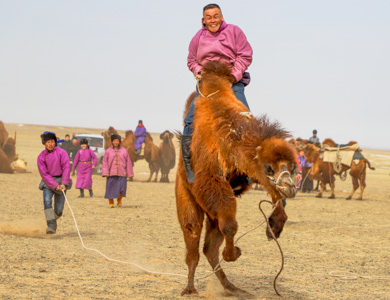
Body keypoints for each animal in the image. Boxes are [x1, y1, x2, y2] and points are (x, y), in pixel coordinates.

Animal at [175, 61, 298, 296]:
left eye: (293, 166)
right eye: (269, 168)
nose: (290, 187)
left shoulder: (246, 175)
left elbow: (271, 202)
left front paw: (274, 227)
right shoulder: (210, 180)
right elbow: (231, 225)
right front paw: (235, 253)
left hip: (211, 214)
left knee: (209, 248)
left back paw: (232, 287)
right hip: (187, 197)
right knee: (193, 240)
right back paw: (190, 288)